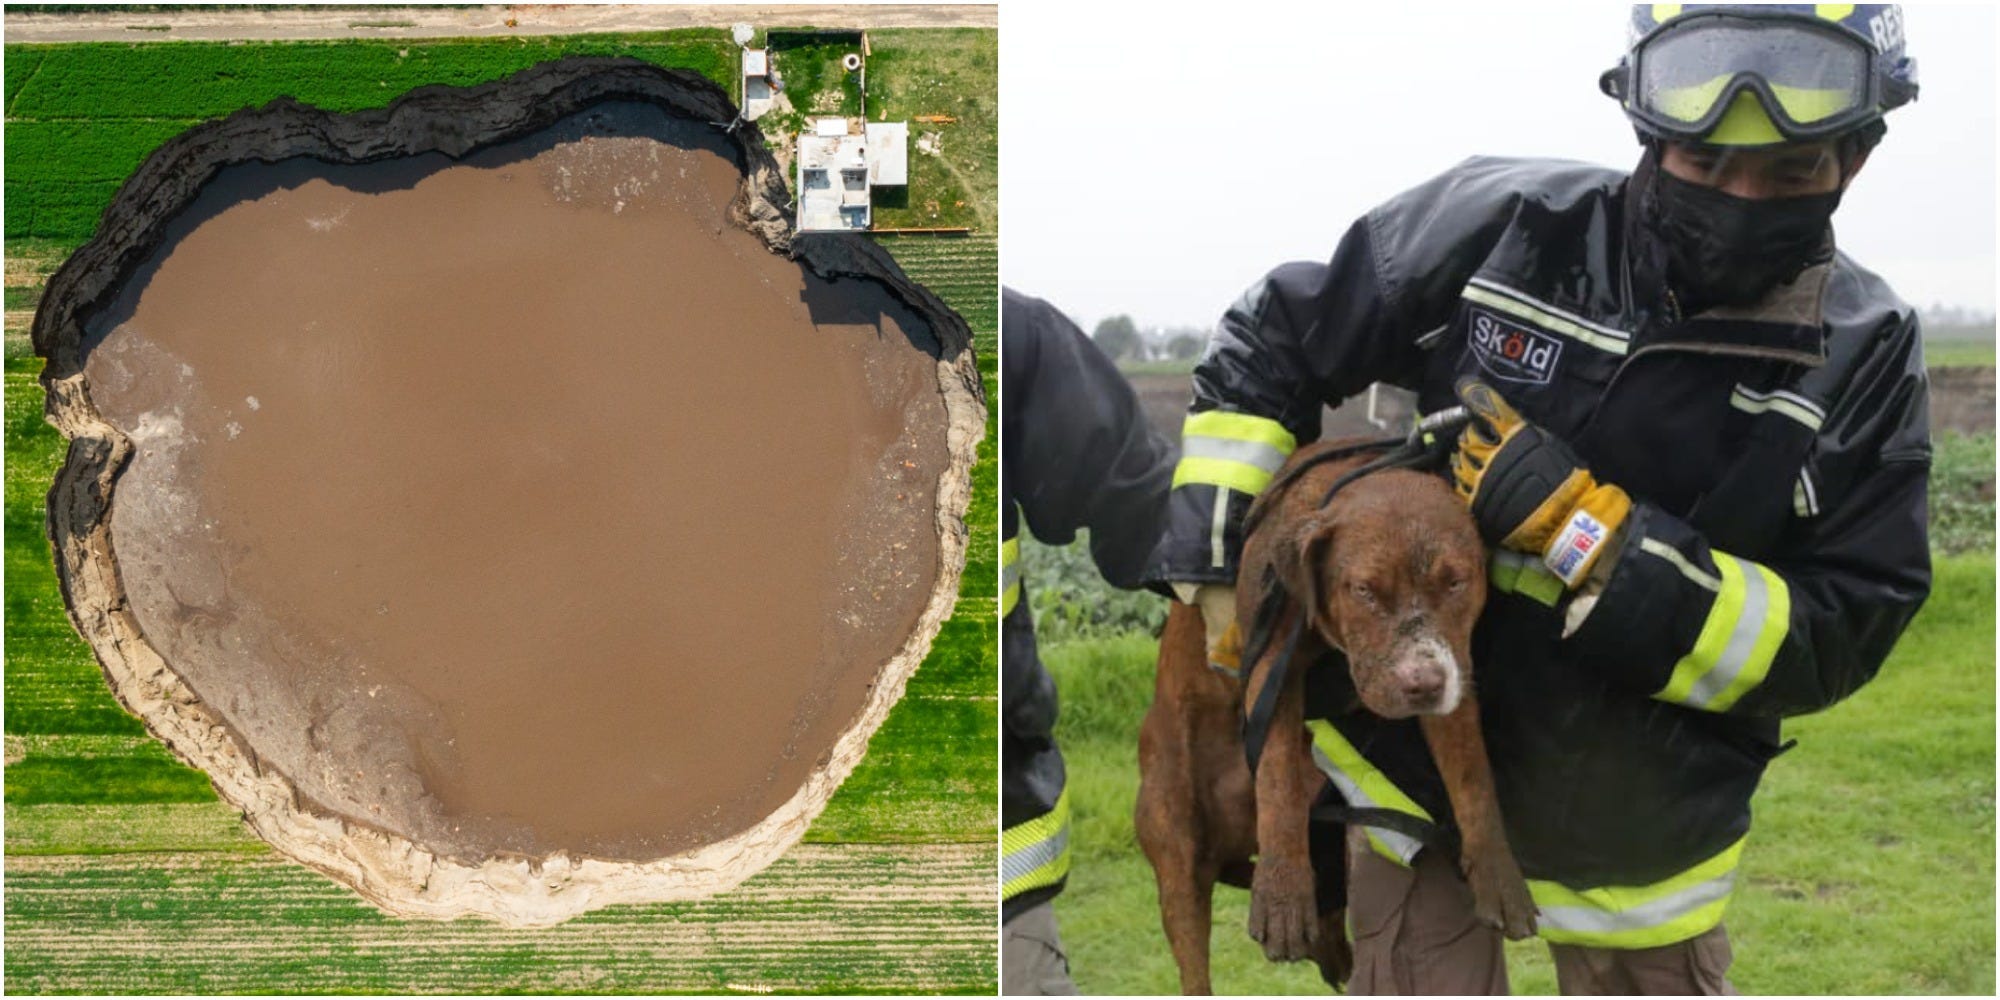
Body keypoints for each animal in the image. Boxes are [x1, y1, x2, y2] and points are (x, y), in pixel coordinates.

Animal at [1136, 444, 1536, 992]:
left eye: (1456, 582)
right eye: (1364, 590)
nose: (1423, 684)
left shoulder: (1454, 668)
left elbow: (1473, 776)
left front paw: (1499, 875)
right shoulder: (1270, 659)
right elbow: (1276, 772)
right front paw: (1281, 893)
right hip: (1175, 842)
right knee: (1195, 963)